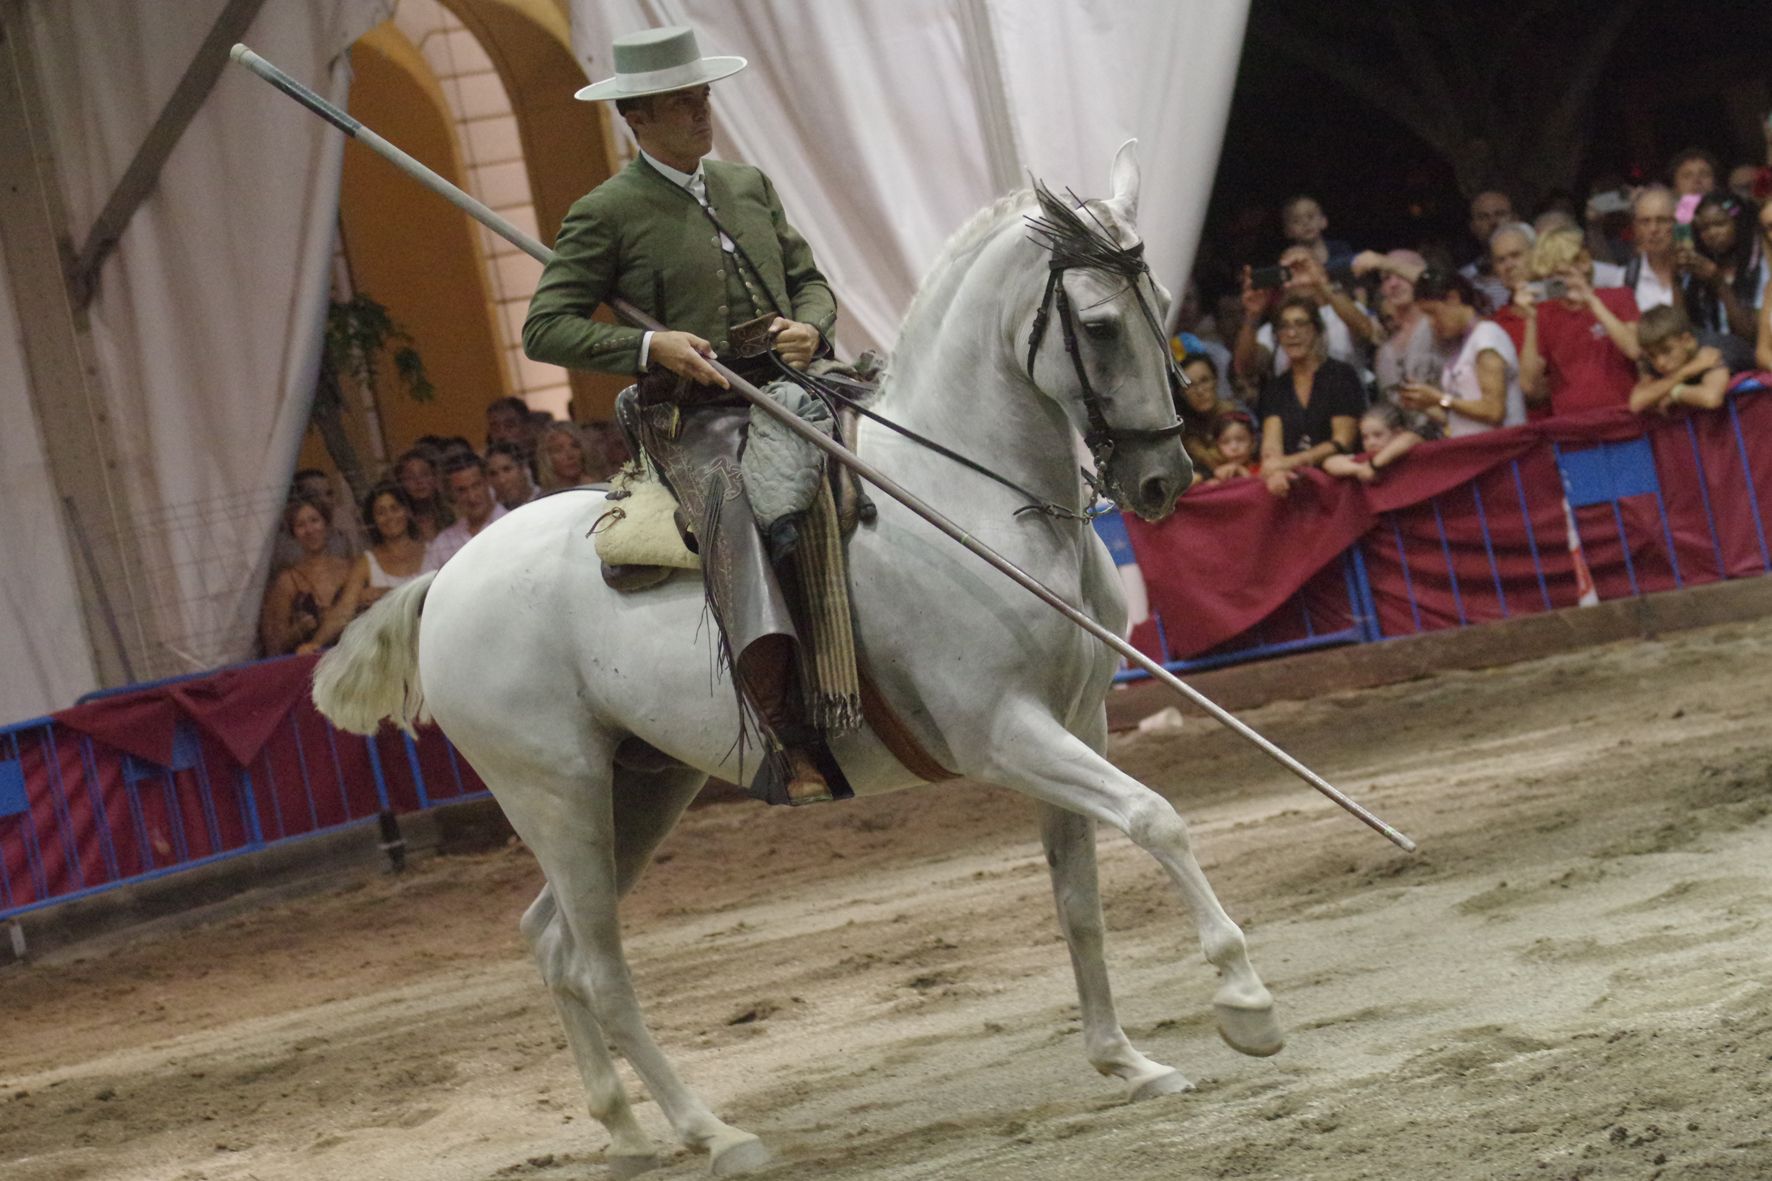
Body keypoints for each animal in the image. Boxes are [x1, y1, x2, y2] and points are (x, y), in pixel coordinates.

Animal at [318, 142, 1282, 1170]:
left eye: (1164, 298)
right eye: (1098, 326)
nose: (1162, 480)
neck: (966, 500)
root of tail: (448, 578)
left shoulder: (1077, 719)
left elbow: (1080, 897)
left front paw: (1126, 1060)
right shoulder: (1002, 733)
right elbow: (1156, 818)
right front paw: (1244, 1000)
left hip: (638, 787)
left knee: (552, 943)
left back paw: (629, 1133)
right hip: (556, 793)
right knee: (600, 965)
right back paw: (715, 1132)